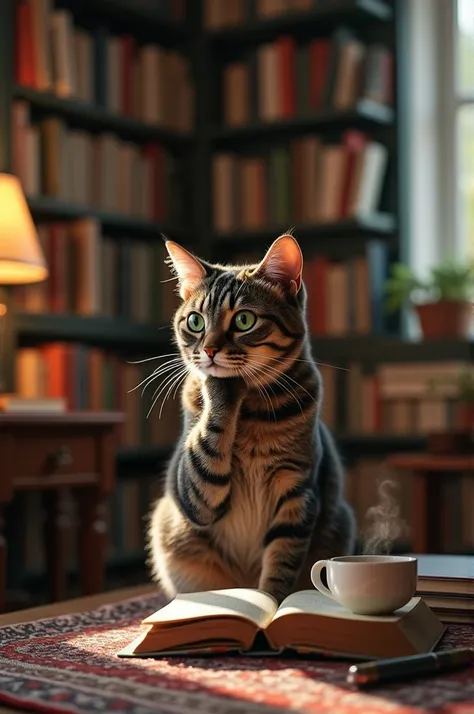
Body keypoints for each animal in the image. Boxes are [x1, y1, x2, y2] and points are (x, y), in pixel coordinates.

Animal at [148, 234, 356, 600]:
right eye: (195, 322)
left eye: (244, 320)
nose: (210, 350)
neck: (252, 411)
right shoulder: (194, 496)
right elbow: (206, 447)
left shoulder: (297, 490)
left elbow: (280, 566)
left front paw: (270, 605)